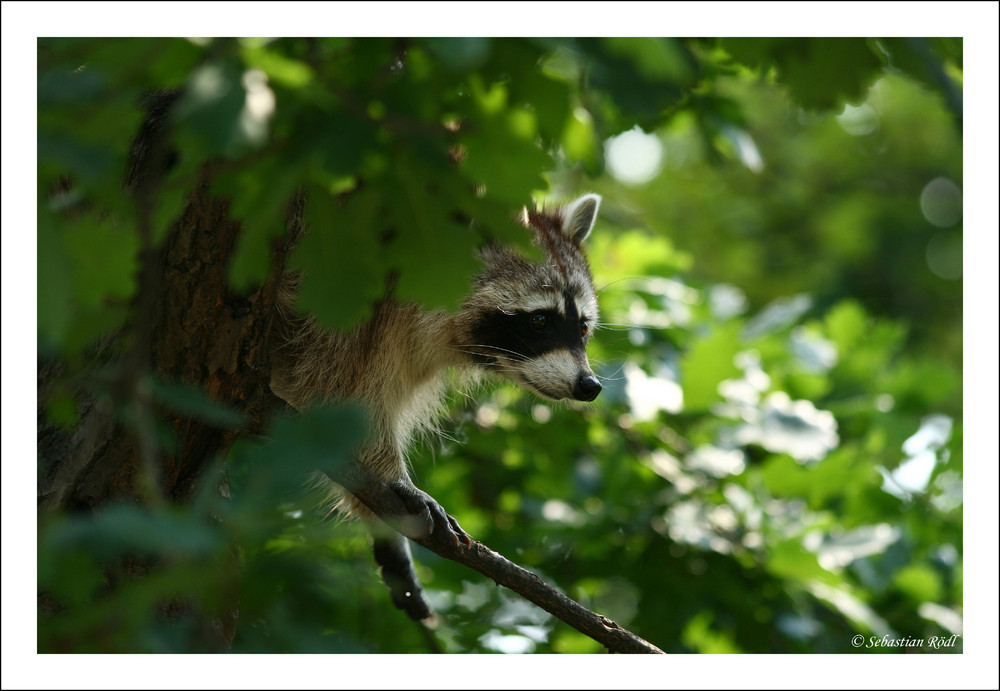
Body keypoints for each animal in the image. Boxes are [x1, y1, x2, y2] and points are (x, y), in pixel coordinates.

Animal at [266, 192, 604, 620]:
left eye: (582, 326)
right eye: (540, 321)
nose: (589, 386)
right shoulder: (343, 292)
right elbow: (328, 390)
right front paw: (392, 477)